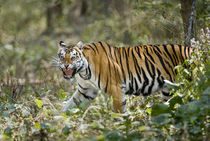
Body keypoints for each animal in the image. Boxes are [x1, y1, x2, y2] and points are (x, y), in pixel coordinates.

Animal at [55, 40, 192, 112]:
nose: (65, 65)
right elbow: (69, 105)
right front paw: (58, 121)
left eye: (73, 57)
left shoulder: (116, 88)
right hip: (168, 90)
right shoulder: (86, 91)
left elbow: (119, 111)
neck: (84, 72)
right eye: (62, 56)